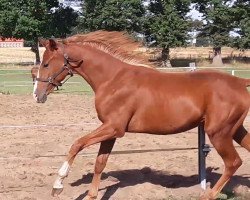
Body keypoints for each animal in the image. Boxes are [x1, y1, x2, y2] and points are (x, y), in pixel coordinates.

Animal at [33, 31, 250, 200]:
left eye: (46, 64)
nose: (37, 95)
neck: (113, 80)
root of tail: (240, 82)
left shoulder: (114, 128)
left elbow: (76, 144)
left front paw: (58, 186)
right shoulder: (110, 131)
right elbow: (100, 163)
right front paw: (91, 195)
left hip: (219, 133)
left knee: (233, 162)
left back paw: (207, 195)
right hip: (235, 130)